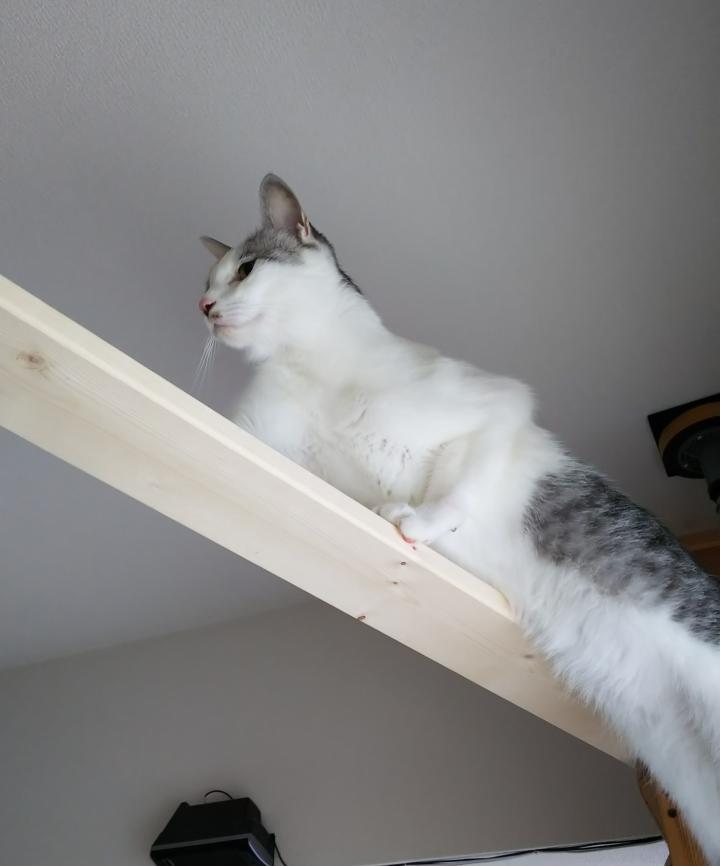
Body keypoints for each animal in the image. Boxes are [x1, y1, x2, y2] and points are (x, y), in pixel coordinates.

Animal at [199, 174, 720, 863]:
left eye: (246, 269)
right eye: (208, 280)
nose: (204, 306)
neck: (313, 369)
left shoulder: (498, 407)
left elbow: (455, 487)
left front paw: (415, 521)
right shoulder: (261, 435)